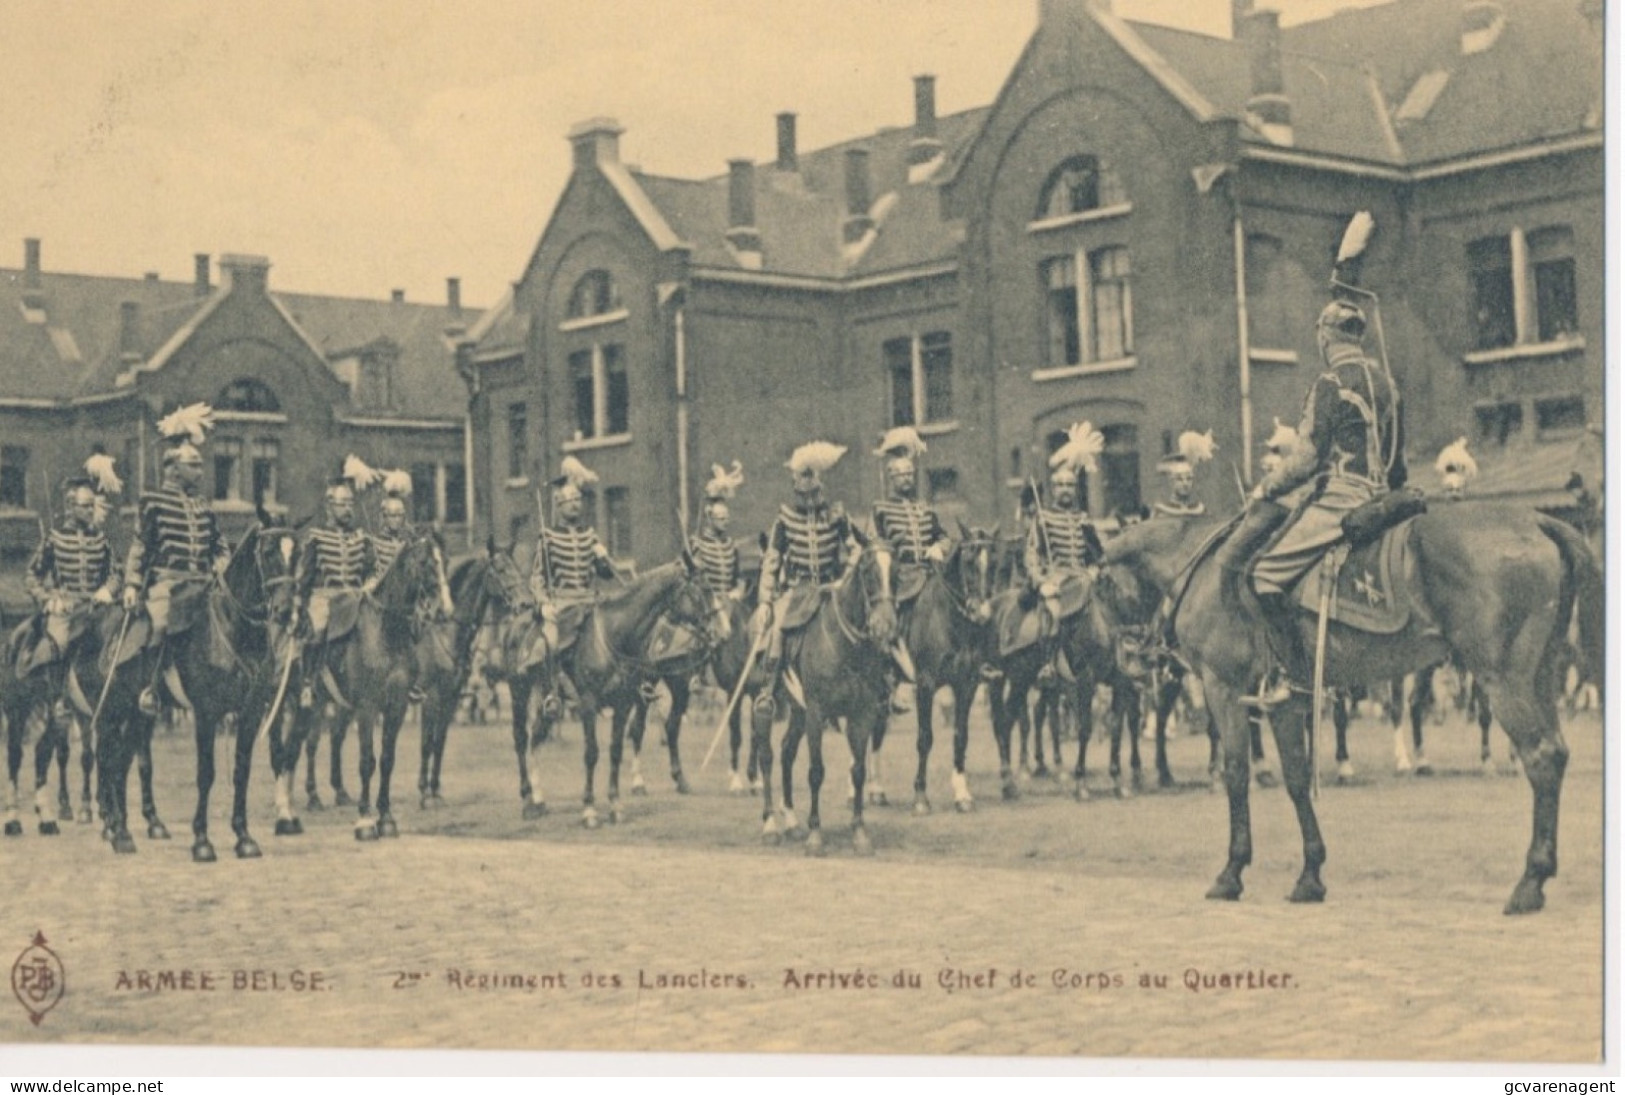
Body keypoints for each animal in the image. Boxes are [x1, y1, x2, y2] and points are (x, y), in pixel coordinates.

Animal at [83, 516, 299, 857]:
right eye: (268, 552)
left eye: (298, 554)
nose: (287, 611)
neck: (231, 629)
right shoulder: (206, 713)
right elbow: (206, 773)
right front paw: (201, 841)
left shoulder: (250, 714)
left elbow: (242, 772)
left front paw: (244, 837)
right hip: (109, 712)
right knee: (106, 760)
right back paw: (114, 830)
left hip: (138, 714)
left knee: (123, 764)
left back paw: (126, 831)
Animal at [750, 542, 897, 857]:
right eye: (868, 572)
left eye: (897, 573)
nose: (885, 626)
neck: (846, 646)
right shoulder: (818, 713)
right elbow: (816, 771)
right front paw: (815, 836)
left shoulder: (862, 714)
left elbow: (858, 770)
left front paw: (859, 833)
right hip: (762, 703)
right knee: (766, 755)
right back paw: (770, 825)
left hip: (798, 712)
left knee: (786, 751)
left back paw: (792, 821)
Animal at [1105, 503, 1599, 909]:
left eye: (1100, 587)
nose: (1129, 660)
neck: (1203, 567)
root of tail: (1534, 520)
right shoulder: (1283, 703)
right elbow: (1297, 779)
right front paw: (1310, 875)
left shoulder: (1222, 687)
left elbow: (1237, 774)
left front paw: (1231, 872)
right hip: (1539, 676)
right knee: (1555, 754)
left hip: (1504, 680)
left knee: (1541, 757)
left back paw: (1529, 882)